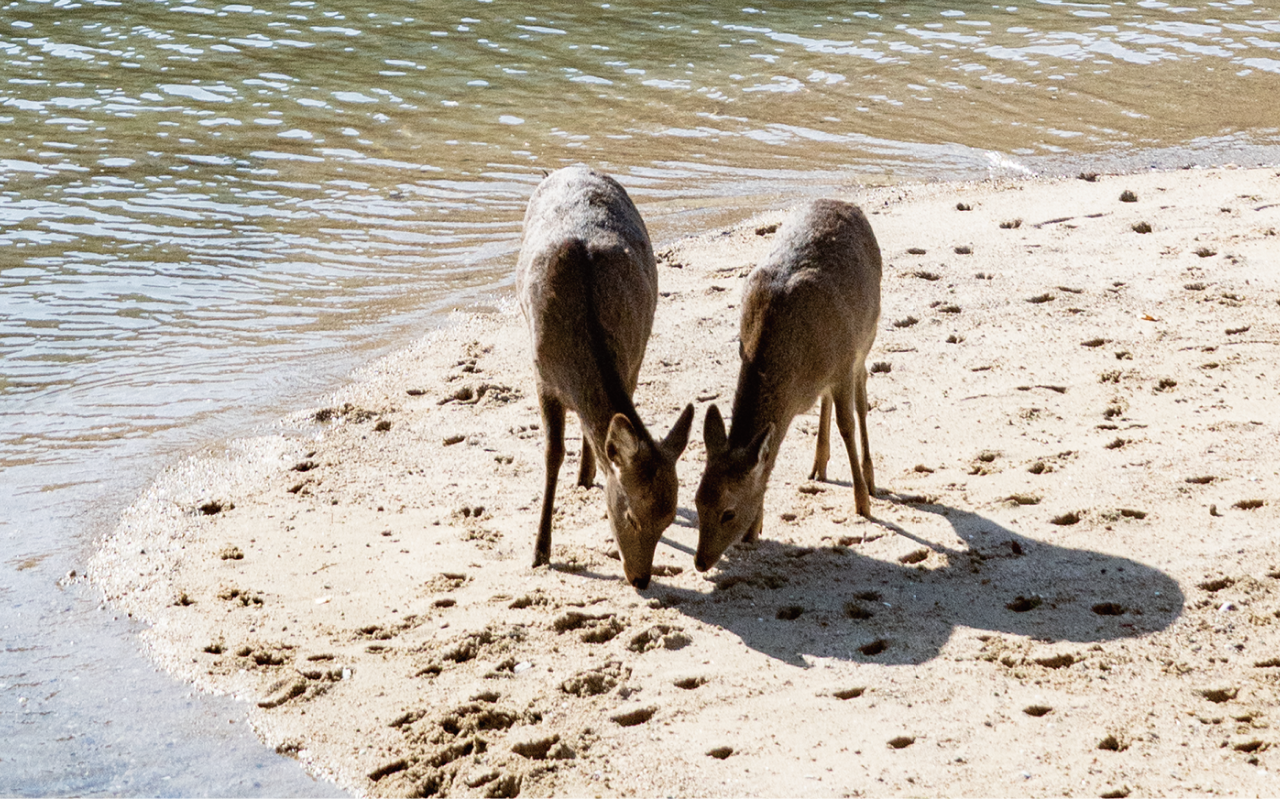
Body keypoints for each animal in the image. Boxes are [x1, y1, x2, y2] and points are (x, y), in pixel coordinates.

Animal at [517, 163, 696, 586]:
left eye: (667, 519)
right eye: (630, 515)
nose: (641, 578)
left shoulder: (633, 361)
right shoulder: (540, 377)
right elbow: (552, 454)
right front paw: (540, 552)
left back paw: (586, 473)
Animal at [696, 199, 885, 573]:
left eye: (728, 512)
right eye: (696, 500)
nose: (700, 561)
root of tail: (849, 205)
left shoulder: (843, 363)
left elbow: (847, 424)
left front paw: (862, 504)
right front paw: (757, 527)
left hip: (867, 335)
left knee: (862, 397)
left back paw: (870, 481)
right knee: (827, 401)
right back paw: (818, 466)